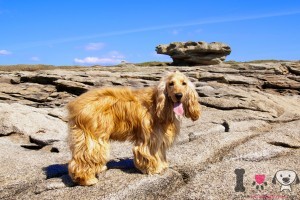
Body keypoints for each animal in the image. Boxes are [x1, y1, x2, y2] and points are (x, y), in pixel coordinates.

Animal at [67, 71, 200, 185]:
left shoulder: (159, 138)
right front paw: (154, 168)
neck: (161, 105)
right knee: (84, 158)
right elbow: (148, 153)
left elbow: (160, 153)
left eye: (184, 83)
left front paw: (162, 165)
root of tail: (76, 105)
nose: (179, 95)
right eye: (171, 83)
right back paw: (87, 179)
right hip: (94, 137)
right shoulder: (150, 138)